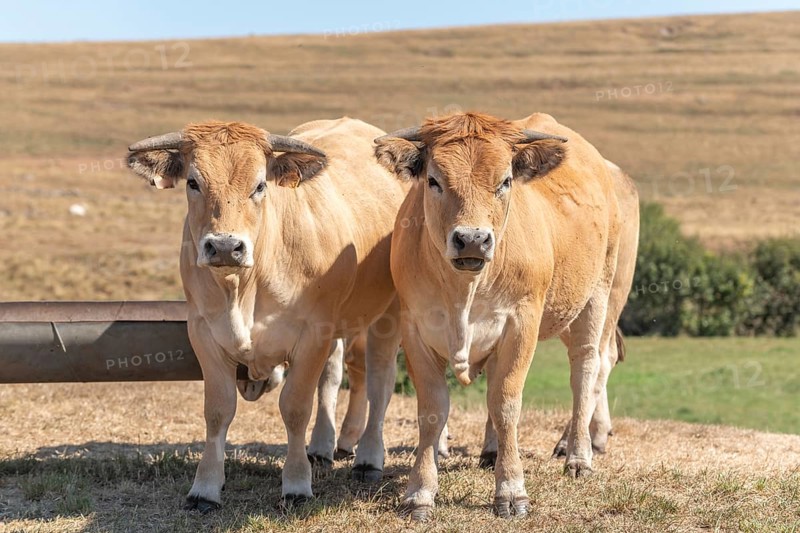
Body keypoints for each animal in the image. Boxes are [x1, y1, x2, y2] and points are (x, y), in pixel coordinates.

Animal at [127, 117, 406, 511]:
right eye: (194, 182)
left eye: (260, 185)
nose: (225, 246)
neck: (243, 287)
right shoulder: (204, 334)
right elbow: (218, 410)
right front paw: (205, 487)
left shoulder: (312, 335)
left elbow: (295, 407)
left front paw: (297, 483)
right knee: (337, 375)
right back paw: (325, 445)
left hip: (387, 315)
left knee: (379, 382)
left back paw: (368, 456)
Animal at [374, 111, 639, 520]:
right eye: (433, 180)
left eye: (505, 181)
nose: (471, 239)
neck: (465, 289)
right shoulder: (415, 327)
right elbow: (433, 409)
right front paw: (420, 491)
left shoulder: (520, 323)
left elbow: (506, 402)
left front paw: (511, 490)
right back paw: (493, 449)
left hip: (601, 297)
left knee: (588, 367)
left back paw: (578, 452)